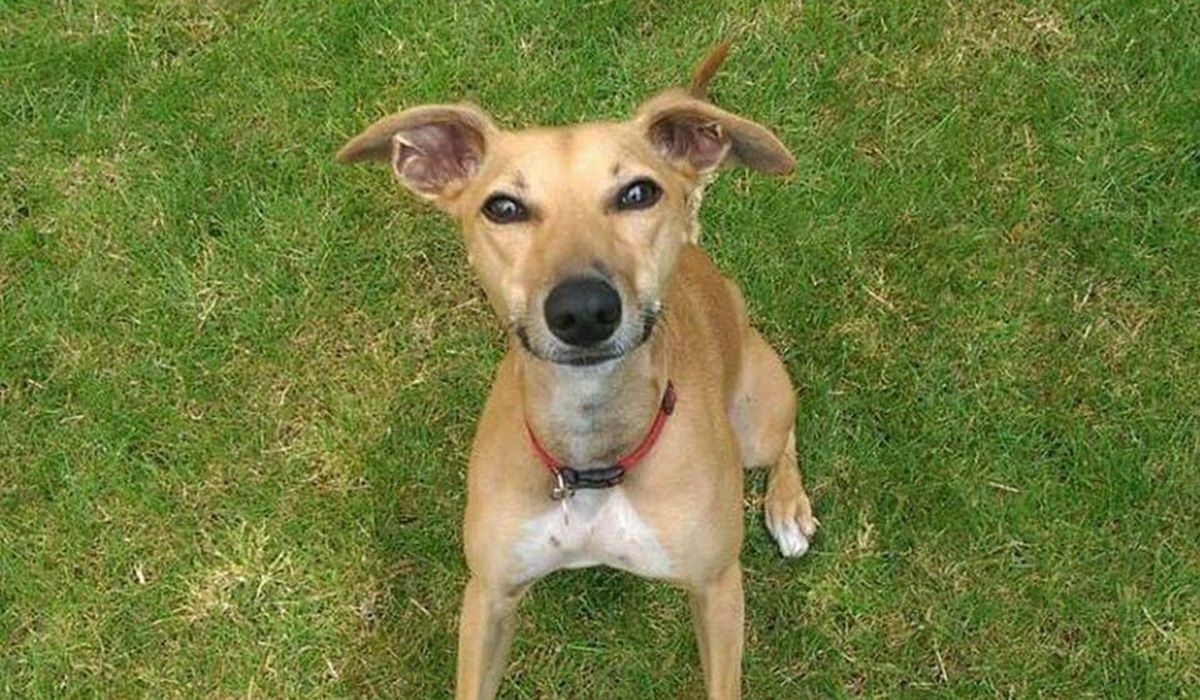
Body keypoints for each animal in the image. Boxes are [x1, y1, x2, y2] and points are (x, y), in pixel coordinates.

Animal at [338, 45, 816, 700]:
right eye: (503, 207)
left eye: (638, 193)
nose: (583, 311)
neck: (592, 460)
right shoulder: (489, 595)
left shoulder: (717, 587)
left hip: (756, 415)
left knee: (785, 437)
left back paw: (787, 507)